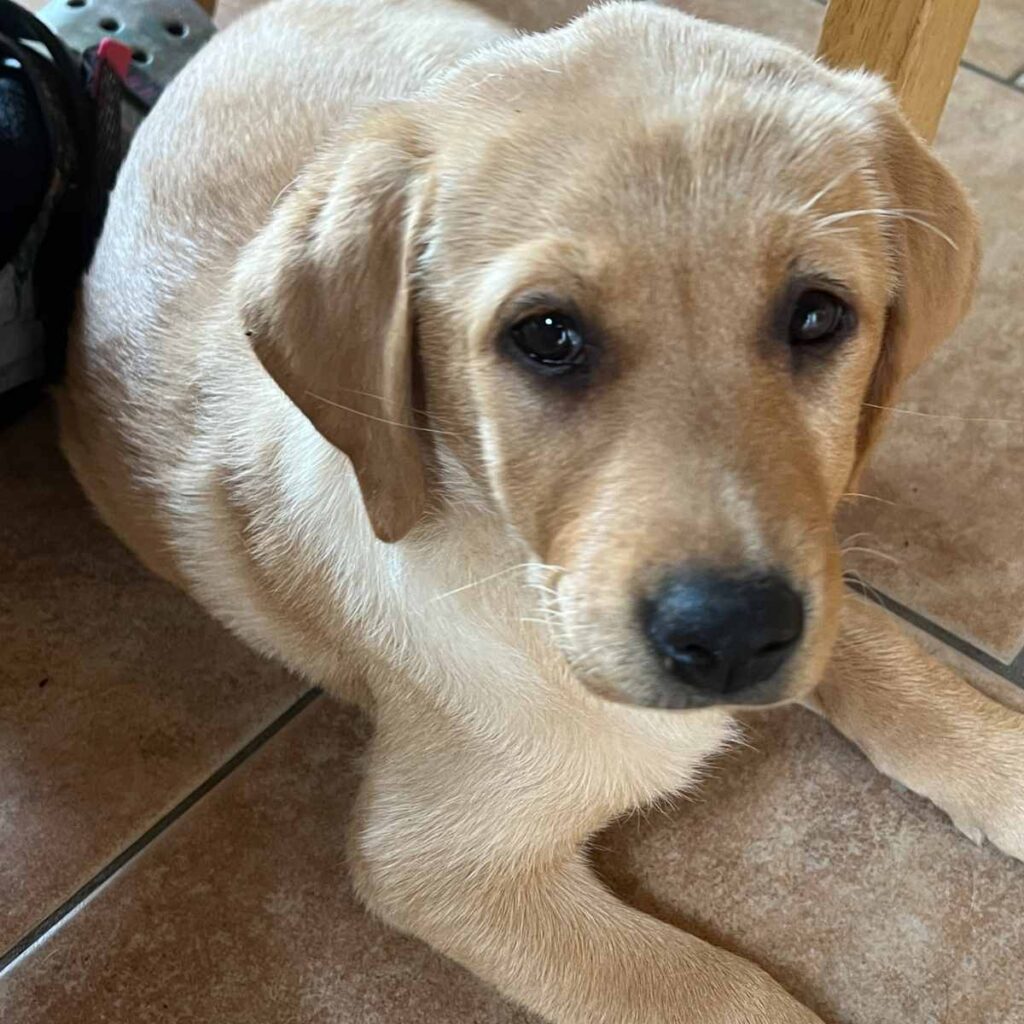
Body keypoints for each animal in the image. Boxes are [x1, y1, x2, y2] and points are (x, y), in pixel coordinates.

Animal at [59, 2, 1019, 1024]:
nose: (731, 638)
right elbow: (714, 989)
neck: (516, 573)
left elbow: (893, 661)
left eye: (817, 317)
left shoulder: (816, 574)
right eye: (548, 336)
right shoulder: (440, 864)